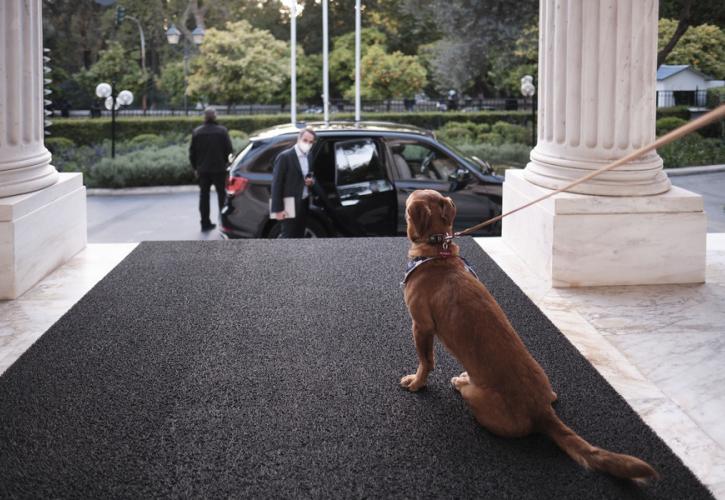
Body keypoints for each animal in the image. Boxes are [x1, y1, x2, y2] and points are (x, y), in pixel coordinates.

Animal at [398, 189, 660, 482]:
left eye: (407, 205)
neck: (438, 252)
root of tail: (541, 412)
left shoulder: (421, 326)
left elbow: (425, 361)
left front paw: (416, 383)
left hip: (475, 396)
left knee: (468, 394)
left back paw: (461, 381)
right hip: (546, 386)